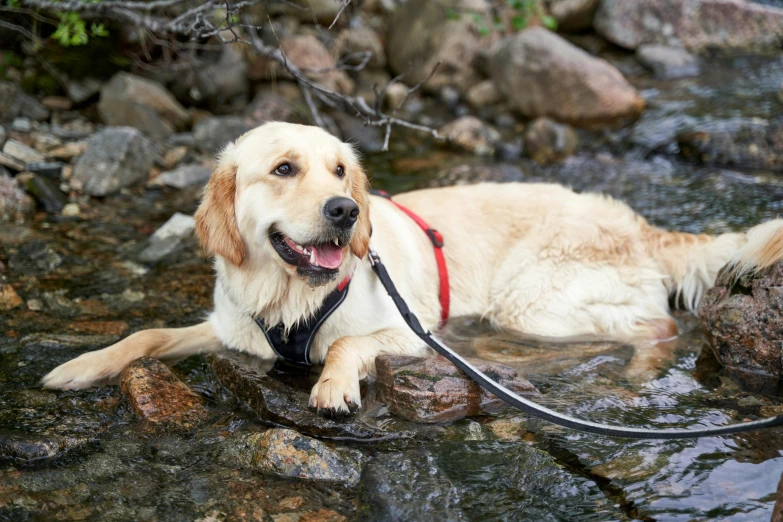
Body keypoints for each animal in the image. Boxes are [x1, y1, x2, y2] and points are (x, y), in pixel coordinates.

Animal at [41, 121, 783, 414]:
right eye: (283, 169)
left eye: (340, 171)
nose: (345, 210)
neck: (291, 292)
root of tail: (635, 221)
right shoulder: (235, 328)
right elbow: (147, 334)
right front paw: (80, 368)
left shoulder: (411, 326)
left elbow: (347, 343)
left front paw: (333, 385)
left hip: (535, 302)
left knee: (655, 329)